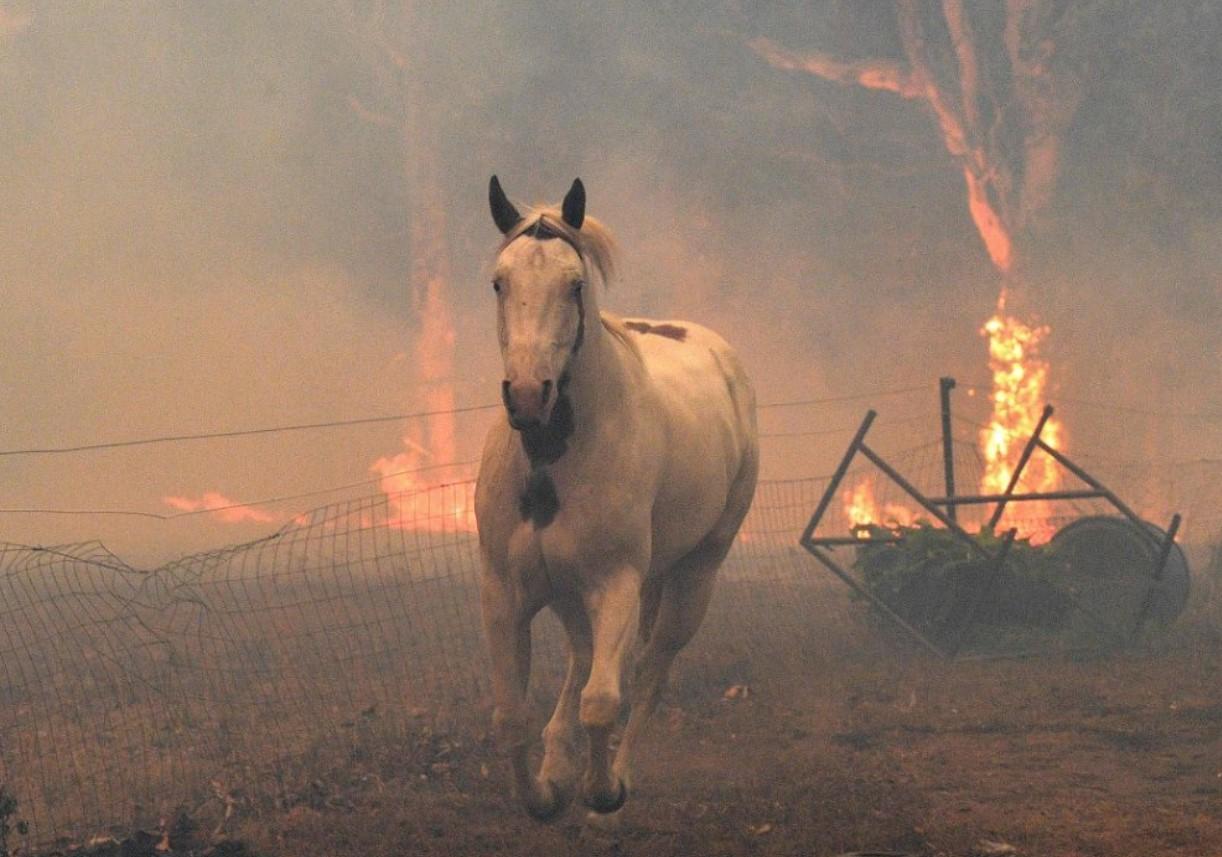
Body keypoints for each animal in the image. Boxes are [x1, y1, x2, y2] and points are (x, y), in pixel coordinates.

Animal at [474, 176, 752, 816]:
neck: (552, 463)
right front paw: (543, 794)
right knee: (583, 660)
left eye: (574, 285)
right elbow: (511, 715)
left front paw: (600, 791)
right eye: (500, 282)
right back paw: (558, 761)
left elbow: (603, 701)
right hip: (574, 595)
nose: (528, 395)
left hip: (693, 575)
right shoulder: (505, 591)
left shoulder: (618, 582)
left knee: (650, 670)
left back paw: (619, 773)